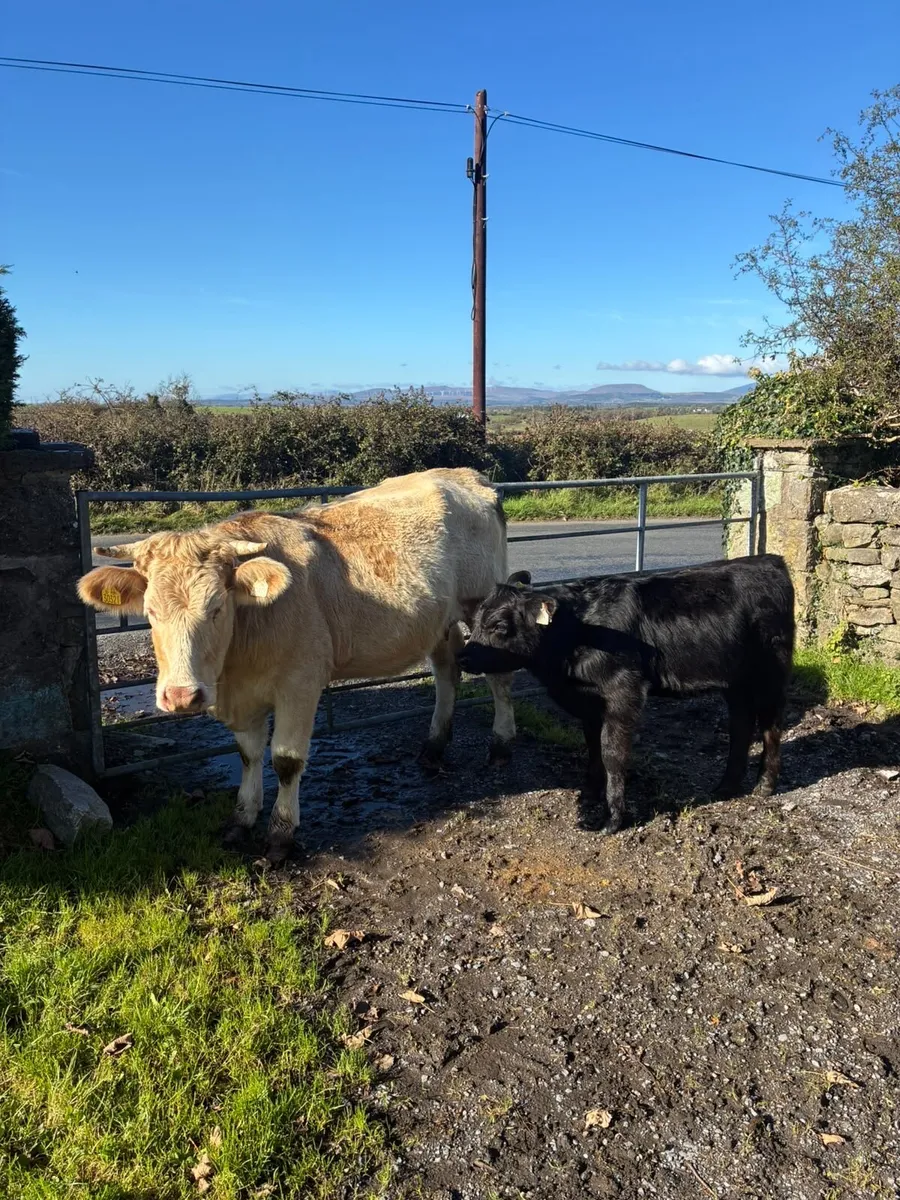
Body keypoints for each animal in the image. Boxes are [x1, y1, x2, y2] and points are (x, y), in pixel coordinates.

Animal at [77, 468, 517, 858]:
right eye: (150, 612)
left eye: (217, 608)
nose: (182, 696)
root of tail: (465, 476)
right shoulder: (245, 696)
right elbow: (248, 754)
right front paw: (241, 819)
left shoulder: (300, 683)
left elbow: (285, 759)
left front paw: (280, 834)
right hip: (439, 621)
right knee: (447, 671)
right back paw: (433, 746)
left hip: (480, 605)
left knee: (499, 677)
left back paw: (500, 745)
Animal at [458, 555, 795, 835]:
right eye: (475, 621)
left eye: (499, 626)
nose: (463, 658)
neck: (578, 632)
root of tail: (769, 561)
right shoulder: (589, 701)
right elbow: (592, 746)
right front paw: (590, 792)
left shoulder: (622, 691)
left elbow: (612, 753)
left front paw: (612, 819)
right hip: (735, 682)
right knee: (741, 724)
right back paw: (726, 786)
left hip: (771, 672)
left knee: (771, 725)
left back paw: (764, 785)